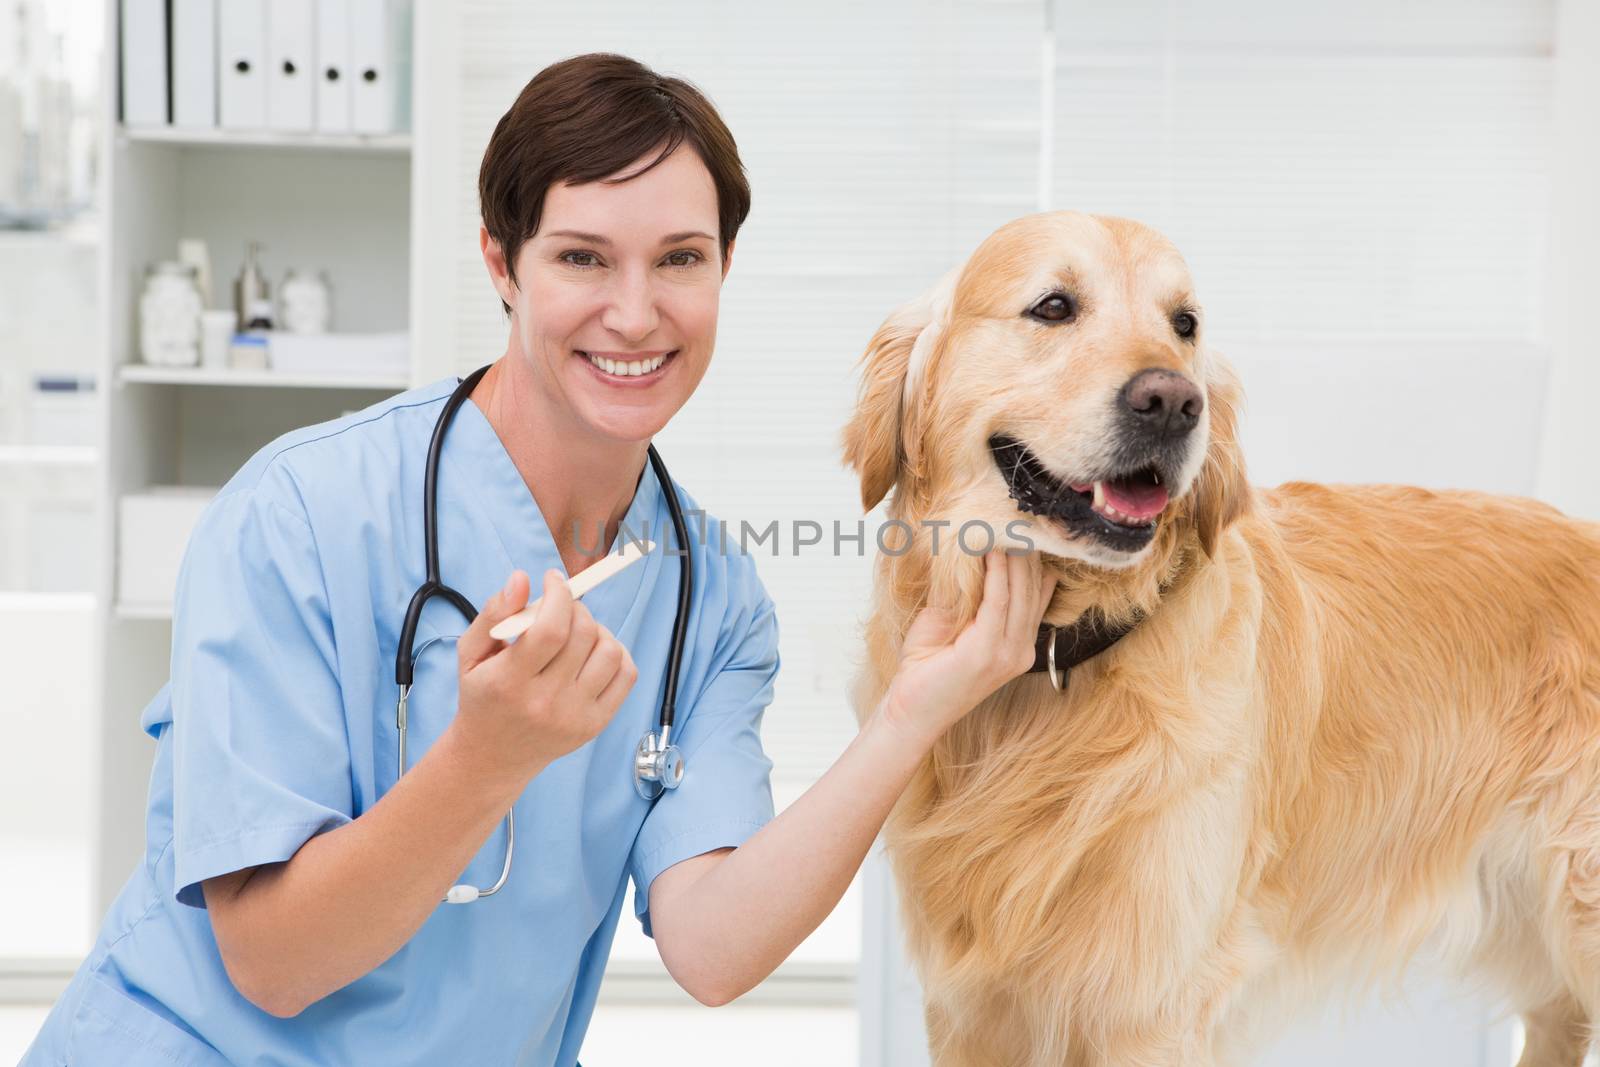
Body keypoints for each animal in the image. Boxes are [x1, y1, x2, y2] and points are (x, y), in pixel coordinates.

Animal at [838, 211, 1600, 1067]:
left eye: (1185, 324)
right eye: (1053, 306)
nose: (1173, 400)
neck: (1062, 658)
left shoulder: (1149, 1002)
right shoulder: (971, 1008)